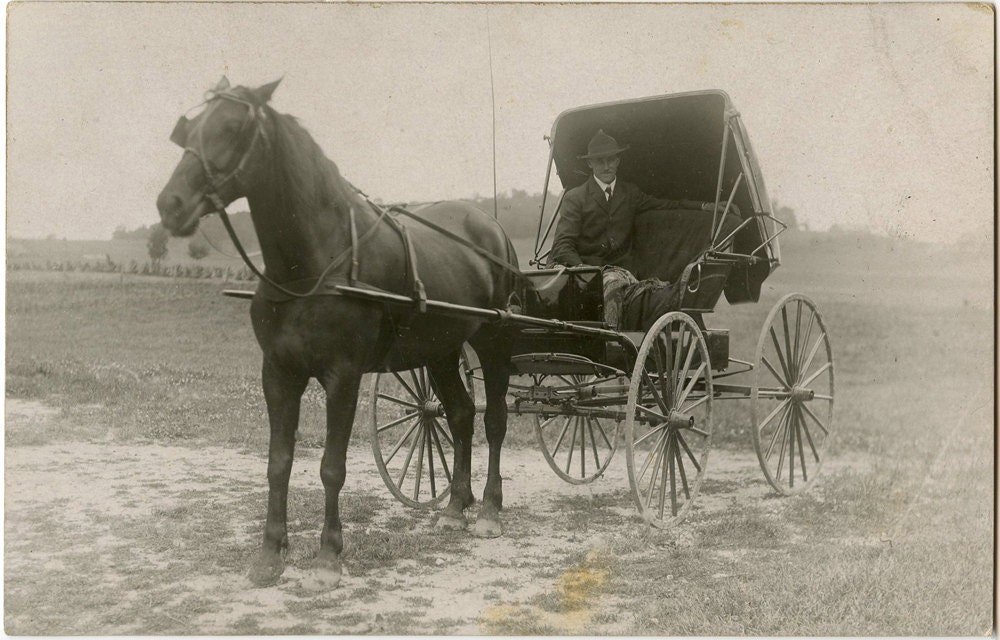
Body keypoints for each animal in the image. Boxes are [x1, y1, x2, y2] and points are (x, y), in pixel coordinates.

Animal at [157, 76, 520, 592]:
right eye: (188, 129)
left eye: (231, 126)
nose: (171, 204)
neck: (310, 267)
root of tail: (490, 227)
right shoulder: (278, 374)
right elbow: (278, 463)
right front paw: (269, 555)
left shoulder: (342, 377)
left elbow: (332, 467)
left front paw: (328, 557)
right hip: (440, 350)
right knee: (461, 415)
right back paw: (454, 507)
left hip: (493, 340)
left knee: (494, 421)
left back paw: (488, 509)